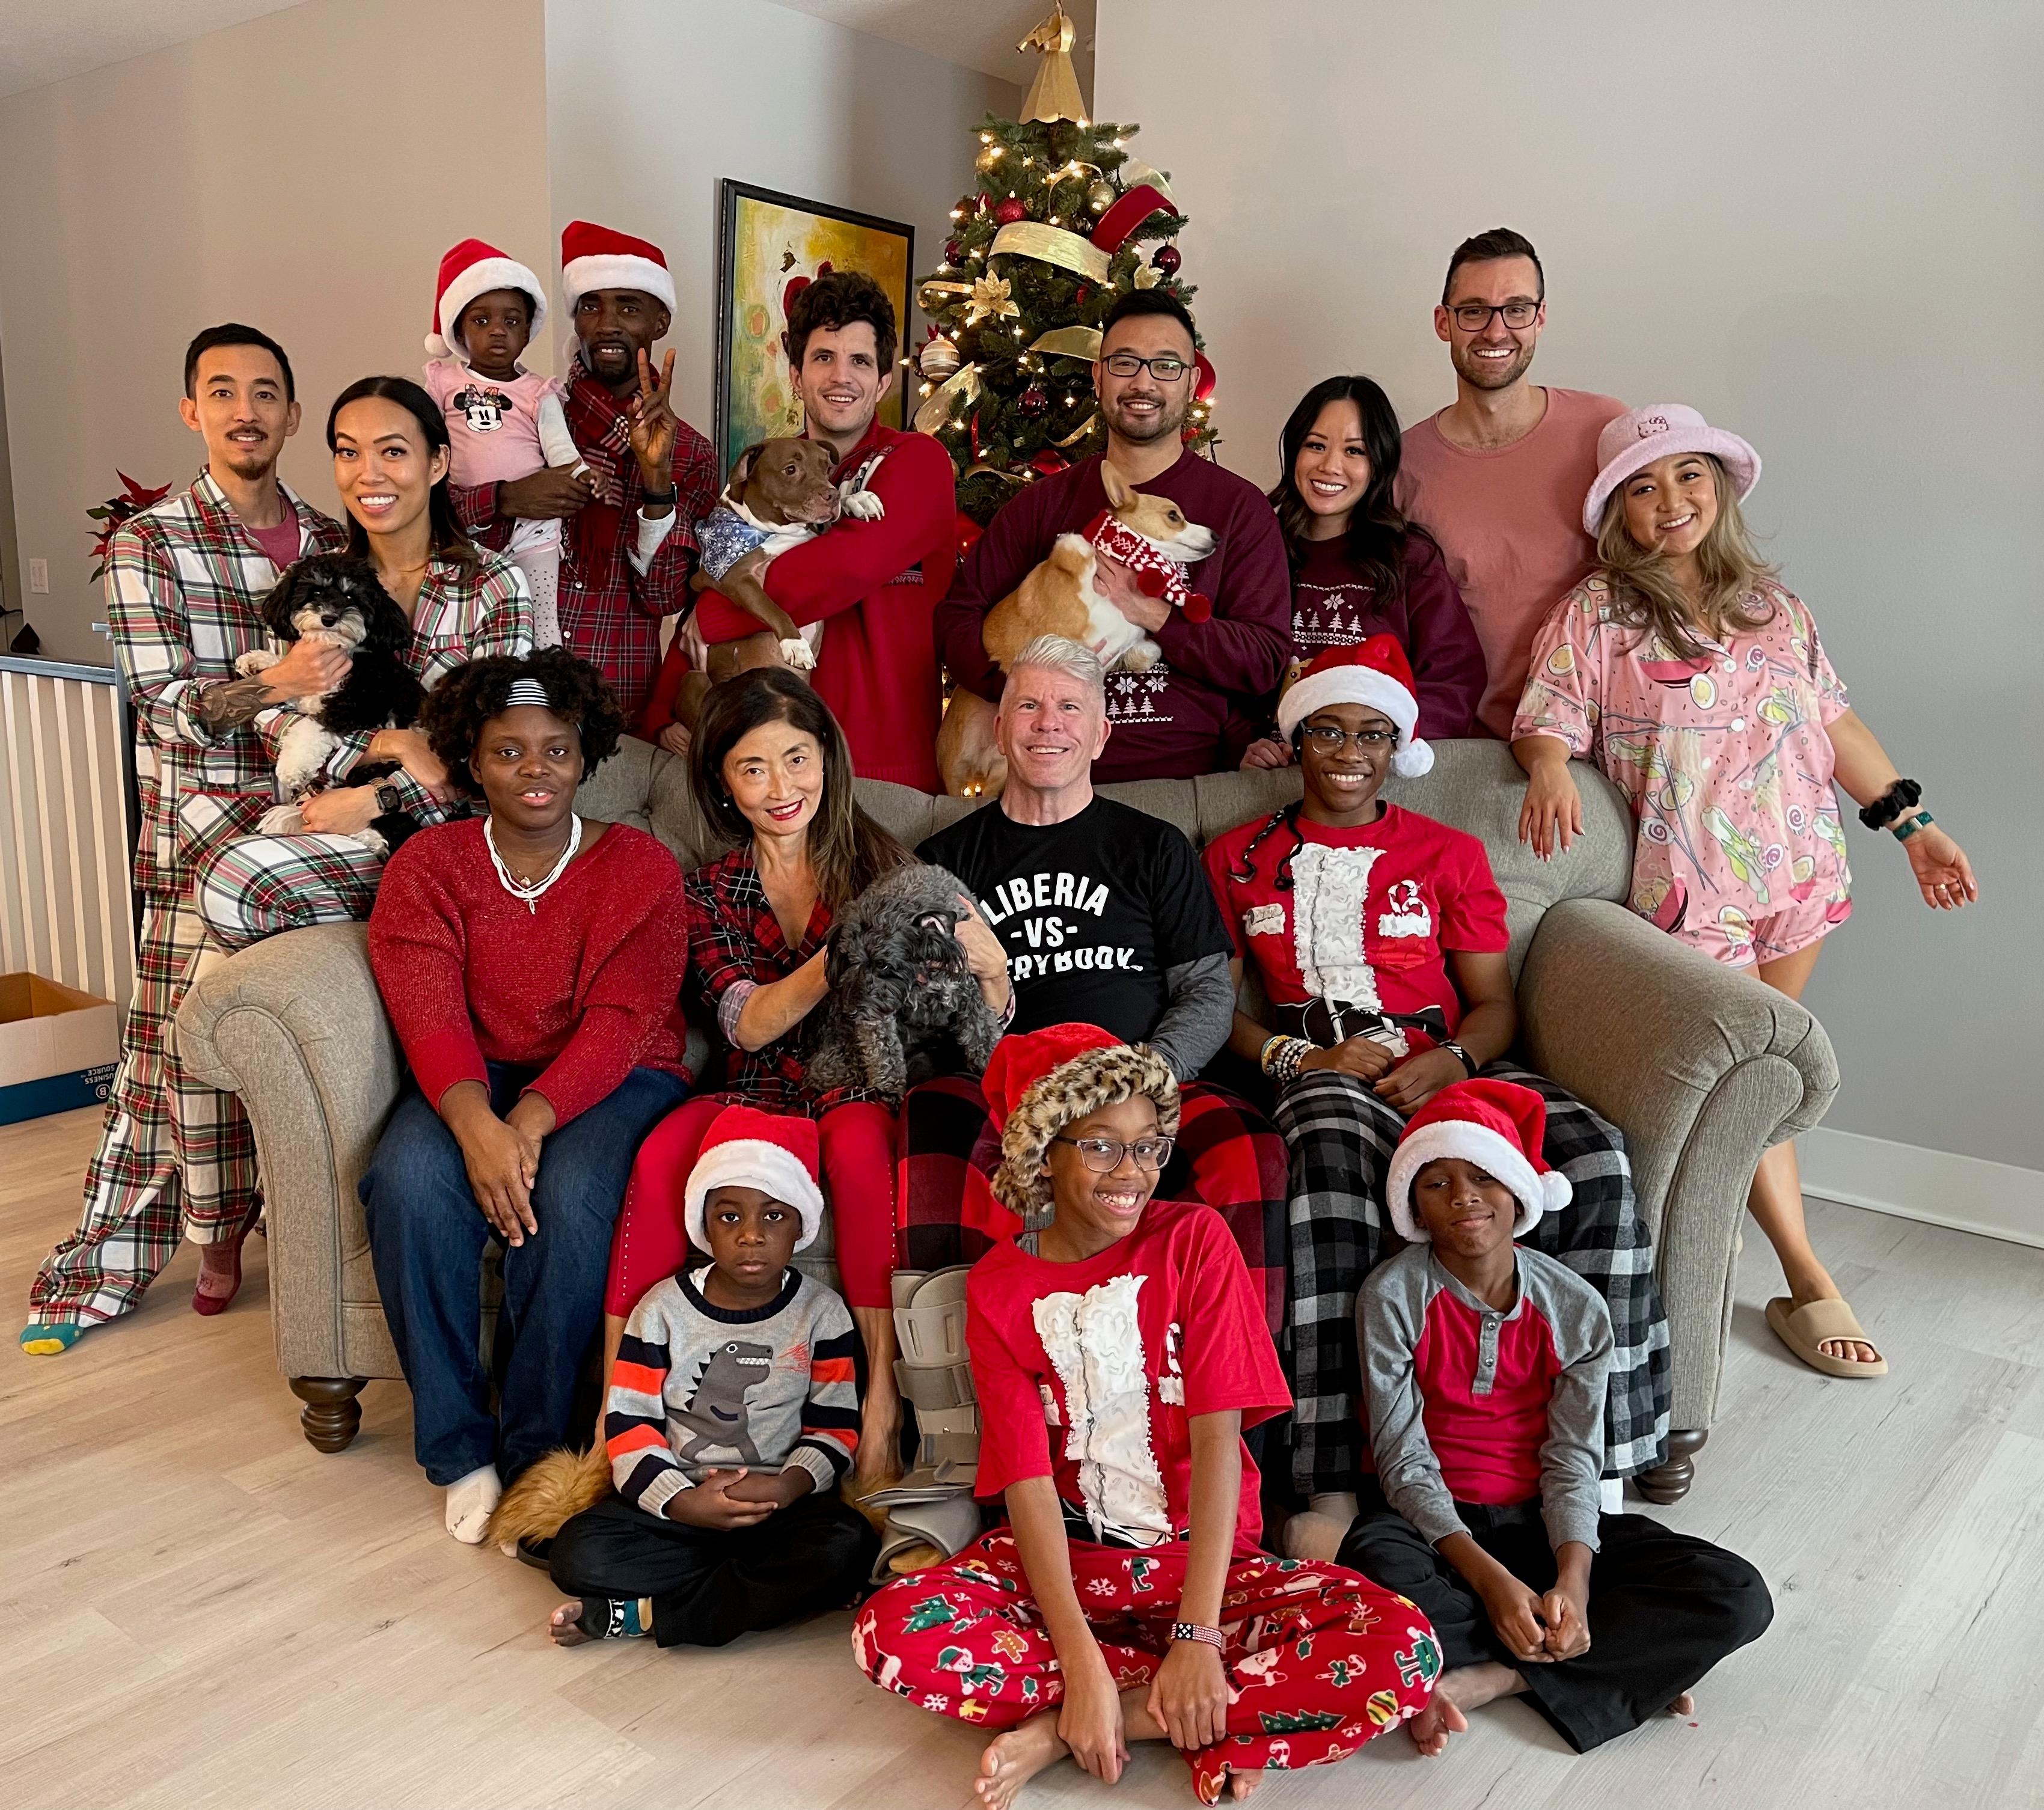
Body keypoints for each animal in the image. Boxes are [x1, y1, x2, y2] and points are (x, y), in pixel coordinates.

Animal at [231, 551, 423, 858]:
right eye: (317, 591)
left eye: (351, 597)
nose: (329, 618)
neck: (341, 652)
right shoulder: (309, 694)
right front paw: (257, 662)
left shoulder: (353, 708)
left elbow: (310, 729)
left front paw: (293, 768)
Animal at [809, 866, 1009, 1103]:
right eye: (849, 960)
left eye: (883, 965)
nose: (851, 1013)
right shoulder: (880, 1015)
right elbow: (883, 1050)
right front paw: (888, 1089)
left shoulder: (972, 999)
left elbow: (983, 1036)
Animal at [936, 468, 1210, 801]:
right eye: (1174, 516)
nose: (1216, 536)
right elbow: (1076, 550)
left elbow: (1144, 651)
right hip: (956, 771)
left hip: (1004, 772)